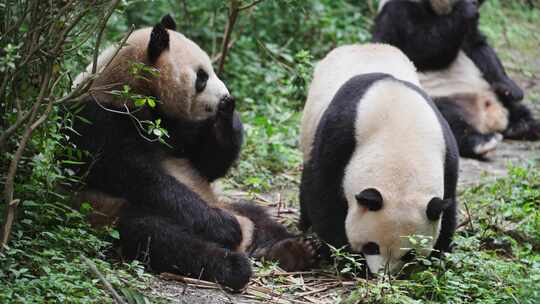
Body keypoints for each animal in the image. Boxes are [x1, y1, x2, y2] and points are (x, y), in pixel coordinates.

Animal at [70, 14, 318, 290]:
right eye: (201, 77)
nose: (225, 95)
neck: (132, 91)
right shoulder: (97, 121)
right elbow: (136, 176)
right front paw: (224, 227)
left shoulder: (175, 127)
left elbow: (207, 164)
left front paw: (227, 113)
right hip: (108, 212)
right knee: (159, 236)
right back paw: (234, 259)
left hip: (231, 204)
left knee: (259, 216)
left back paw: (291, 249)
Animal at [300, 44, 460, 274]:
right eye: (372, 246)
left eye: (409, 254)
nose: (383, 275)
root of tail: (363, 46)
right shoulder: (341, 136)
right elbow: (324, 192)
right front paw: (345, 256)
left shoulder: (447, 151)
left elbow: (447, 206)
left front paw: (437, 257)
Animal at [374, 0, 540, 157]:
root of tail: (488, 120)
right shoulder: (398, 13)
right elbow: (422, 47)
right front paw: (466, 9)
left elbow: (477, 45)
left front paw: (510, 87)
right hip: (436, 99)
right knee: (450, 122)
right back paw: (481, 142)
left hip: (491, 92)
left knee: (515, 108)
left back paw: (526, 126)